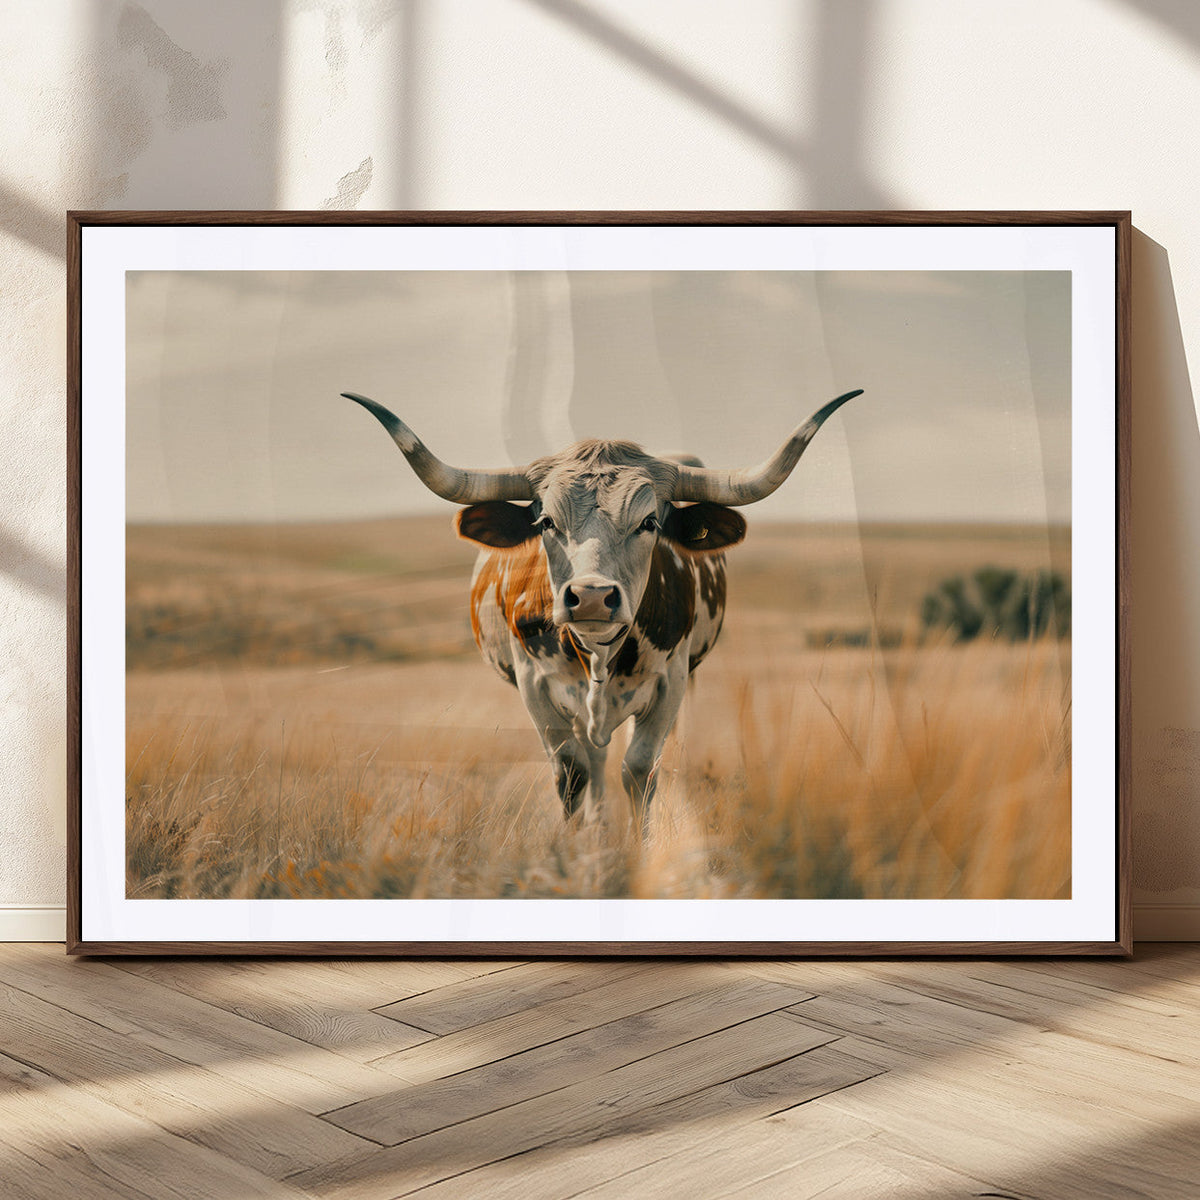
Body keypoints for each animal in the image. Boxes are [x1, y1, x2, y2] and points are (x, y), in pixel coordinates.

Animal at [345, 388, 862, 828]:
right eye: (545, 522)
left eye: (650, 521)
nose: (591, 595)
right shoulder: (534, 685)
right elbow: (573, 772)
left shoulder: (671, 682)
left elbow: (640, 770)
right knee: (591, 761)